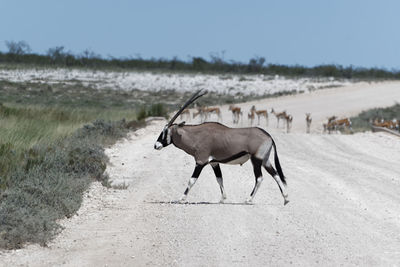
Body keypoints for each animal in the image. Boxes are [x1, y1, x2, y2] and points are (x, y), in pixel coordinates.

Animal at [153, 91, 288, 206]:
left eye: (165, 131)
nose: (156, 145)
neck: (196, 136)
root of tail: (268, 136)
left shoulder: (200, 162)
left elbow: (192, 180)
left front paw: (181, 198)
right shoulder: (214, 163)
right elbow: (220, 179)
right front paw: (223, 199)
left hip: (256, 160)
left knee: (259, 178)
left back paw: (248, 199)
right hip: (265, 160)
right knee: (276, 175)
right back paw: (286, 199)